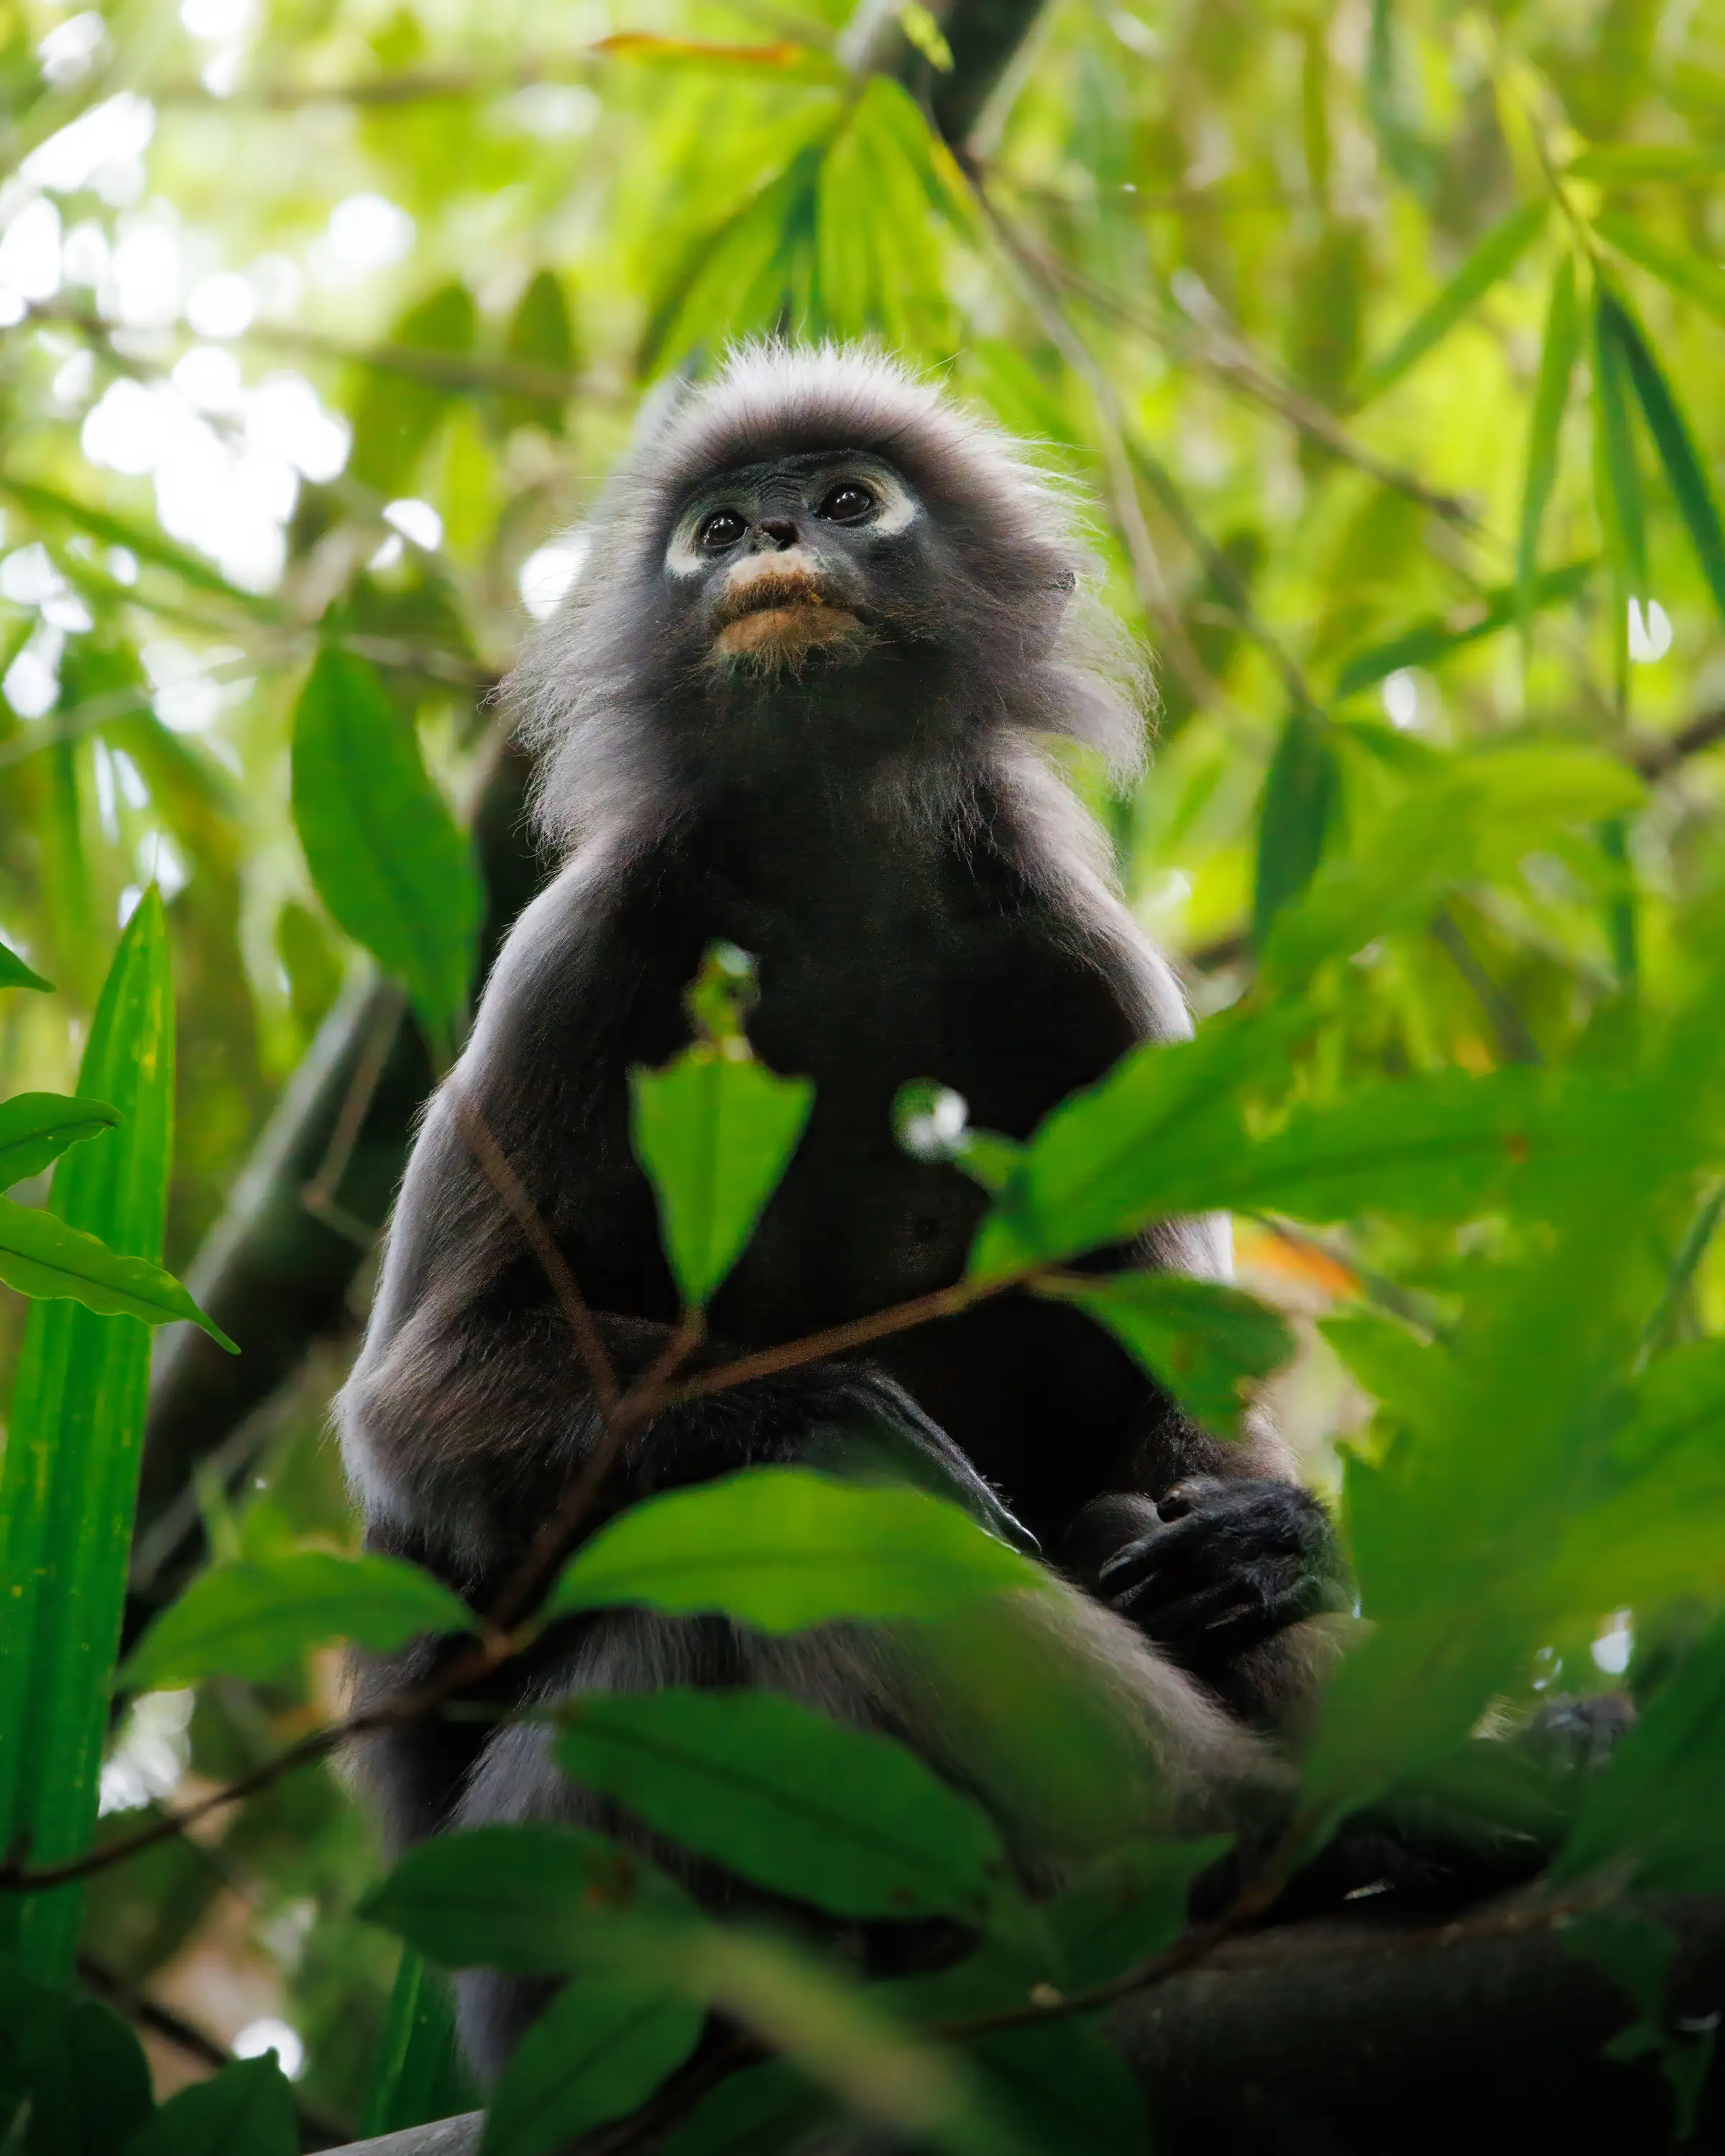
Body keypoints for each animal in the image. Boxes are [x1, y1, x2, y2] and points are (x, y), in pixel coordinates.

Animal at [336, 344, 1346, 2077]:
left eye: (850, 502)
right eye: (719, 526)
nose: (769, 545)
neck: (839, 875)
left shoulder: (1089, 971)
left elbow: (1155, 1409)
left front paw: (1270, 1535)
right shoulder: (580, 952)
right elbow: (416, 1405)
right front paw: (816, 1406)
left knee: (1134, 1522)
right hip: (570, 1888)